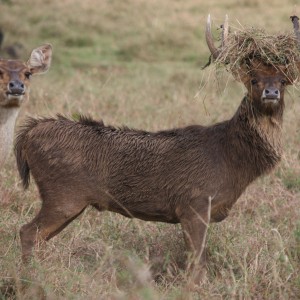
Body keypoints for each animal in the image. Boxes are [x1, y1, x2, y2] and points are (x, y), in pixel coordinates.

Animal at [14, 17, 300, 282]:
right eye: (253, 79)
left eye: (283, 81)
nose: (271, 92)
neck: (232, 162)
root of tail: (28, 135)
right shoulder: (194, 203)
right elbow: (196, 265)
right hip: (63, 193)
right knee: (28, 232)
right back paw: (30, 278)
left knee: (38, 237)